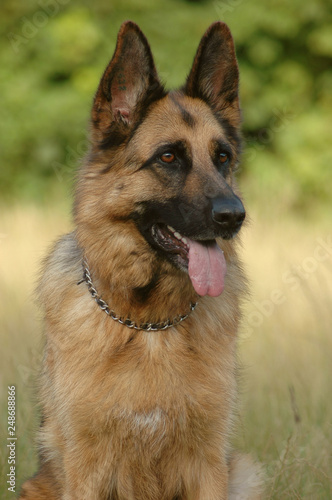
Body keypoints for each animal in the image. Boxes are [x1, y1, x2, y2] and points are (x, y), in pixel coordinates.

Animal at [19, 21, 264, 498]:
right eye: (168, 157)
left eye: (222, 157)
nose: (234, 216)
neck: (149, 325)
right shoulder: (86, 469)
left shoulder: (209, 465)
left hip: (242, 471)